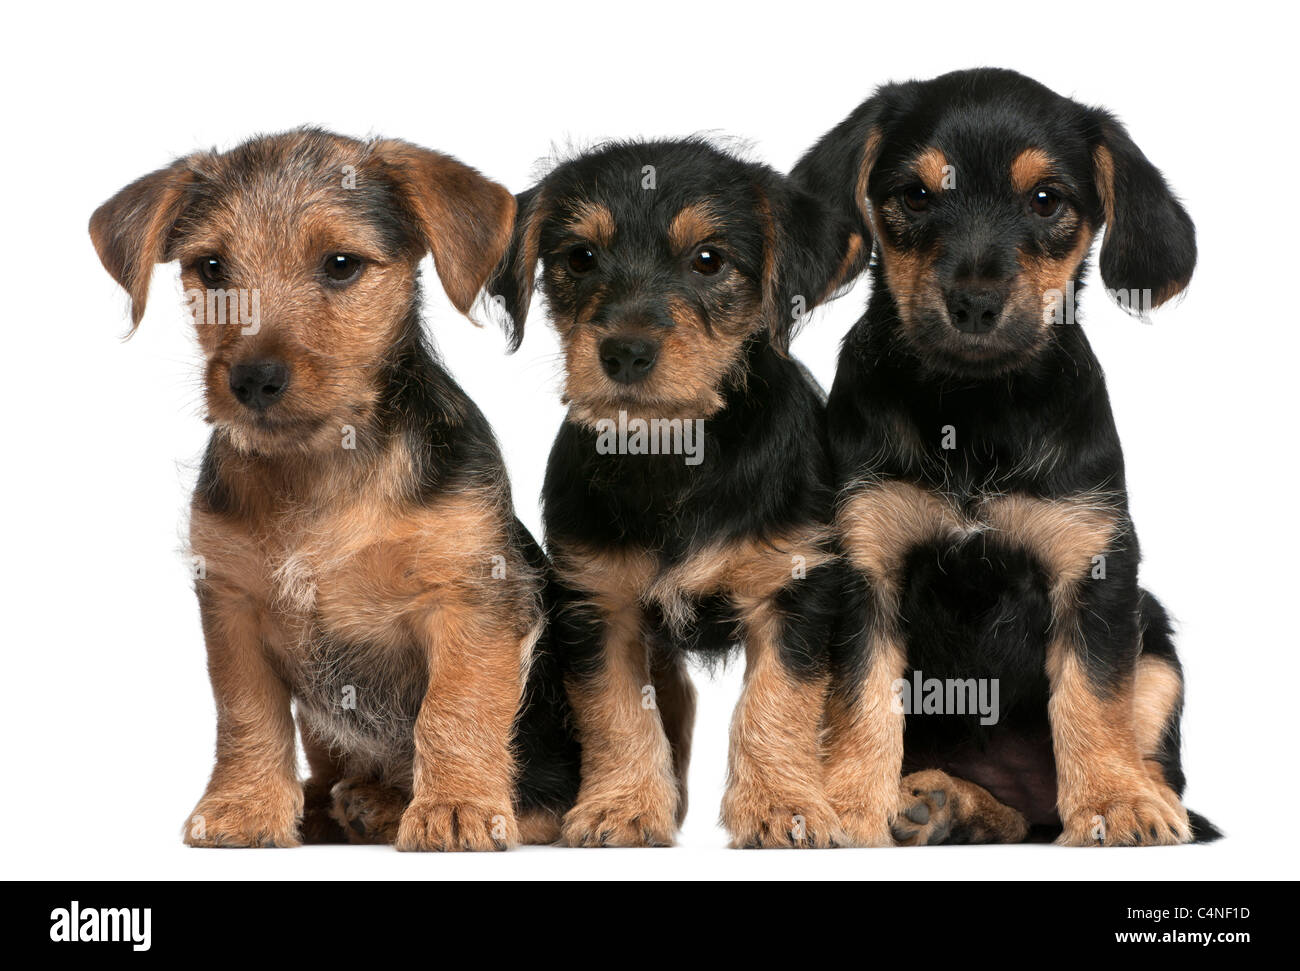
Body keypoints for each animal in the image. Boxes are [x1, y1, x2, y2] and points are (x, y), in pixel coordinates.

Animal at [89, 129, 577, 852]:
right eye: (211, 268)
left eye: (341, 265)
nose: (254, 379)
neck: (319, 466)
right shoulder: (232, 604)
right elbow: (246, 714)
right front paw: (244, 806)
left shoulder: (472, 594)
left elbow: (456, 707)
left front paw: (455, 806)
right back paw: (339, 802)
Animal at [491, 138, 857, 852]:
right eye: (580, 257)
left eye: (708, 260)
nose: (625, 353)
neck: (678, 454)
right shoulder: (597, 603)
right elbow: (616, 712)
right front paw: (622, 807)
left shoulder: (794, 588)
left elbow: (777, 701)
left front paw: (784, 806)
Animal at [790, 66, 1216, 842]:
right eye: (916, 195)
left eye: (1046, 199)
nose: (975, 303)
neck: (974, 410)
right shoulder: (864, 563)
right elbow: (861, 701)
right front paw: (848, 806)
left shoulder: (1095, 566)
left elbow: (1093, 696)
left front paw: (1115, 802)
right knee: (1016, 813)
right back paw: (941, 803)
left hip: (1157, 643)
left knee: (1126, 769)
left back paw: (1142, 798)